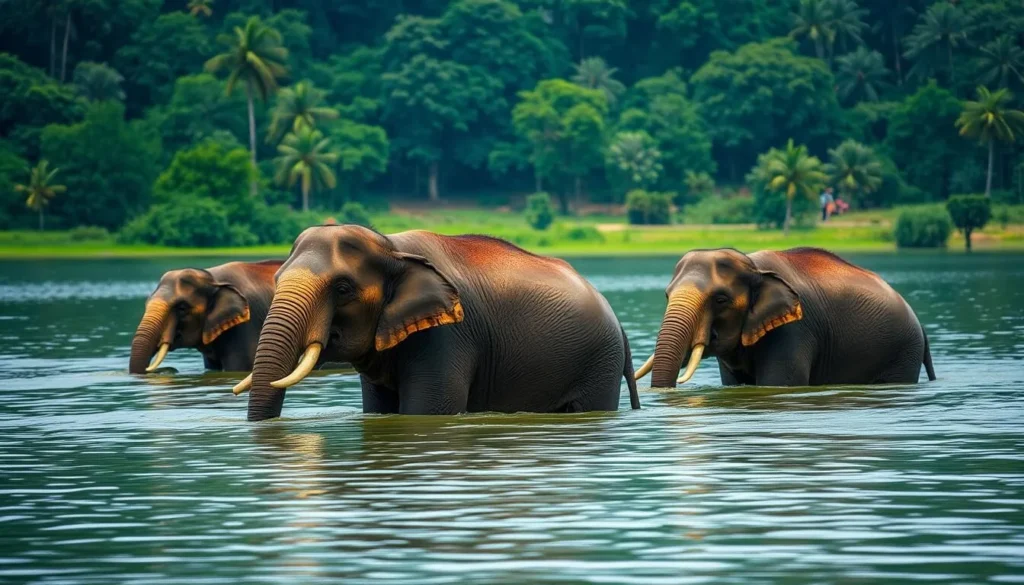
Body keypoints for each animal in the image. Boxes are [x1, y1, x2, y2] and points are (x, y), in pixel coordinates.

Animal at [234, 225, 640, 421]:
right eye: (276, 279)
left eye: (343, 288)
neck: (390, 245)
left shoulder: (449, 336)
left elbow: (425, 412)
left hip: (598, 363)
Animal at [635, 247, 936, 388]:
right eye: (667, 295)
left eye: (720, 300)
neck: (754, 266)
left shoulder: (796, 331)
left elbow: (778, 383)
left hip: (902, 352)